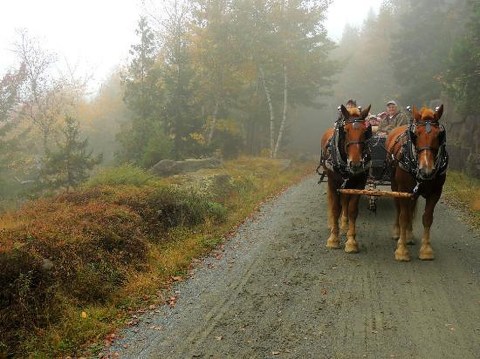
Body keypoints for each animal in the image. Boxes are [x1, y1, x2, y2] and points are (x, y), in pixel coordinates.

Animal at [320, 105, 374, 253]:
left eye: (365, 131)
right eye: (345, 130)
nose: (355, 164)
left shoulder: (359, 185)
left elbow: (352, 210)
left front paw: (351, 241)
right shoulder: (333, 184)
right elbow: (335, 209)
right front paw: (333, 239)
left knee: (345, 203)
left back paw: (344, 225)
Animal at [384, 105, 448, 262]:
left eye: (439, 135)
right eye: (416, 135)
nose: (426, 170)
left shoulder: (436, 192)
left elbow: (427, 218)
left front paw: (426, 250)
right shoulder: (403, 190)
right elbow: (403, 216)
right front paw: (401, 250)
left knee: (411, 208)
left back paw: (409, 235)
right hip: (395, 186)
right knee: (399, 208)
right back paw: (398, 233)